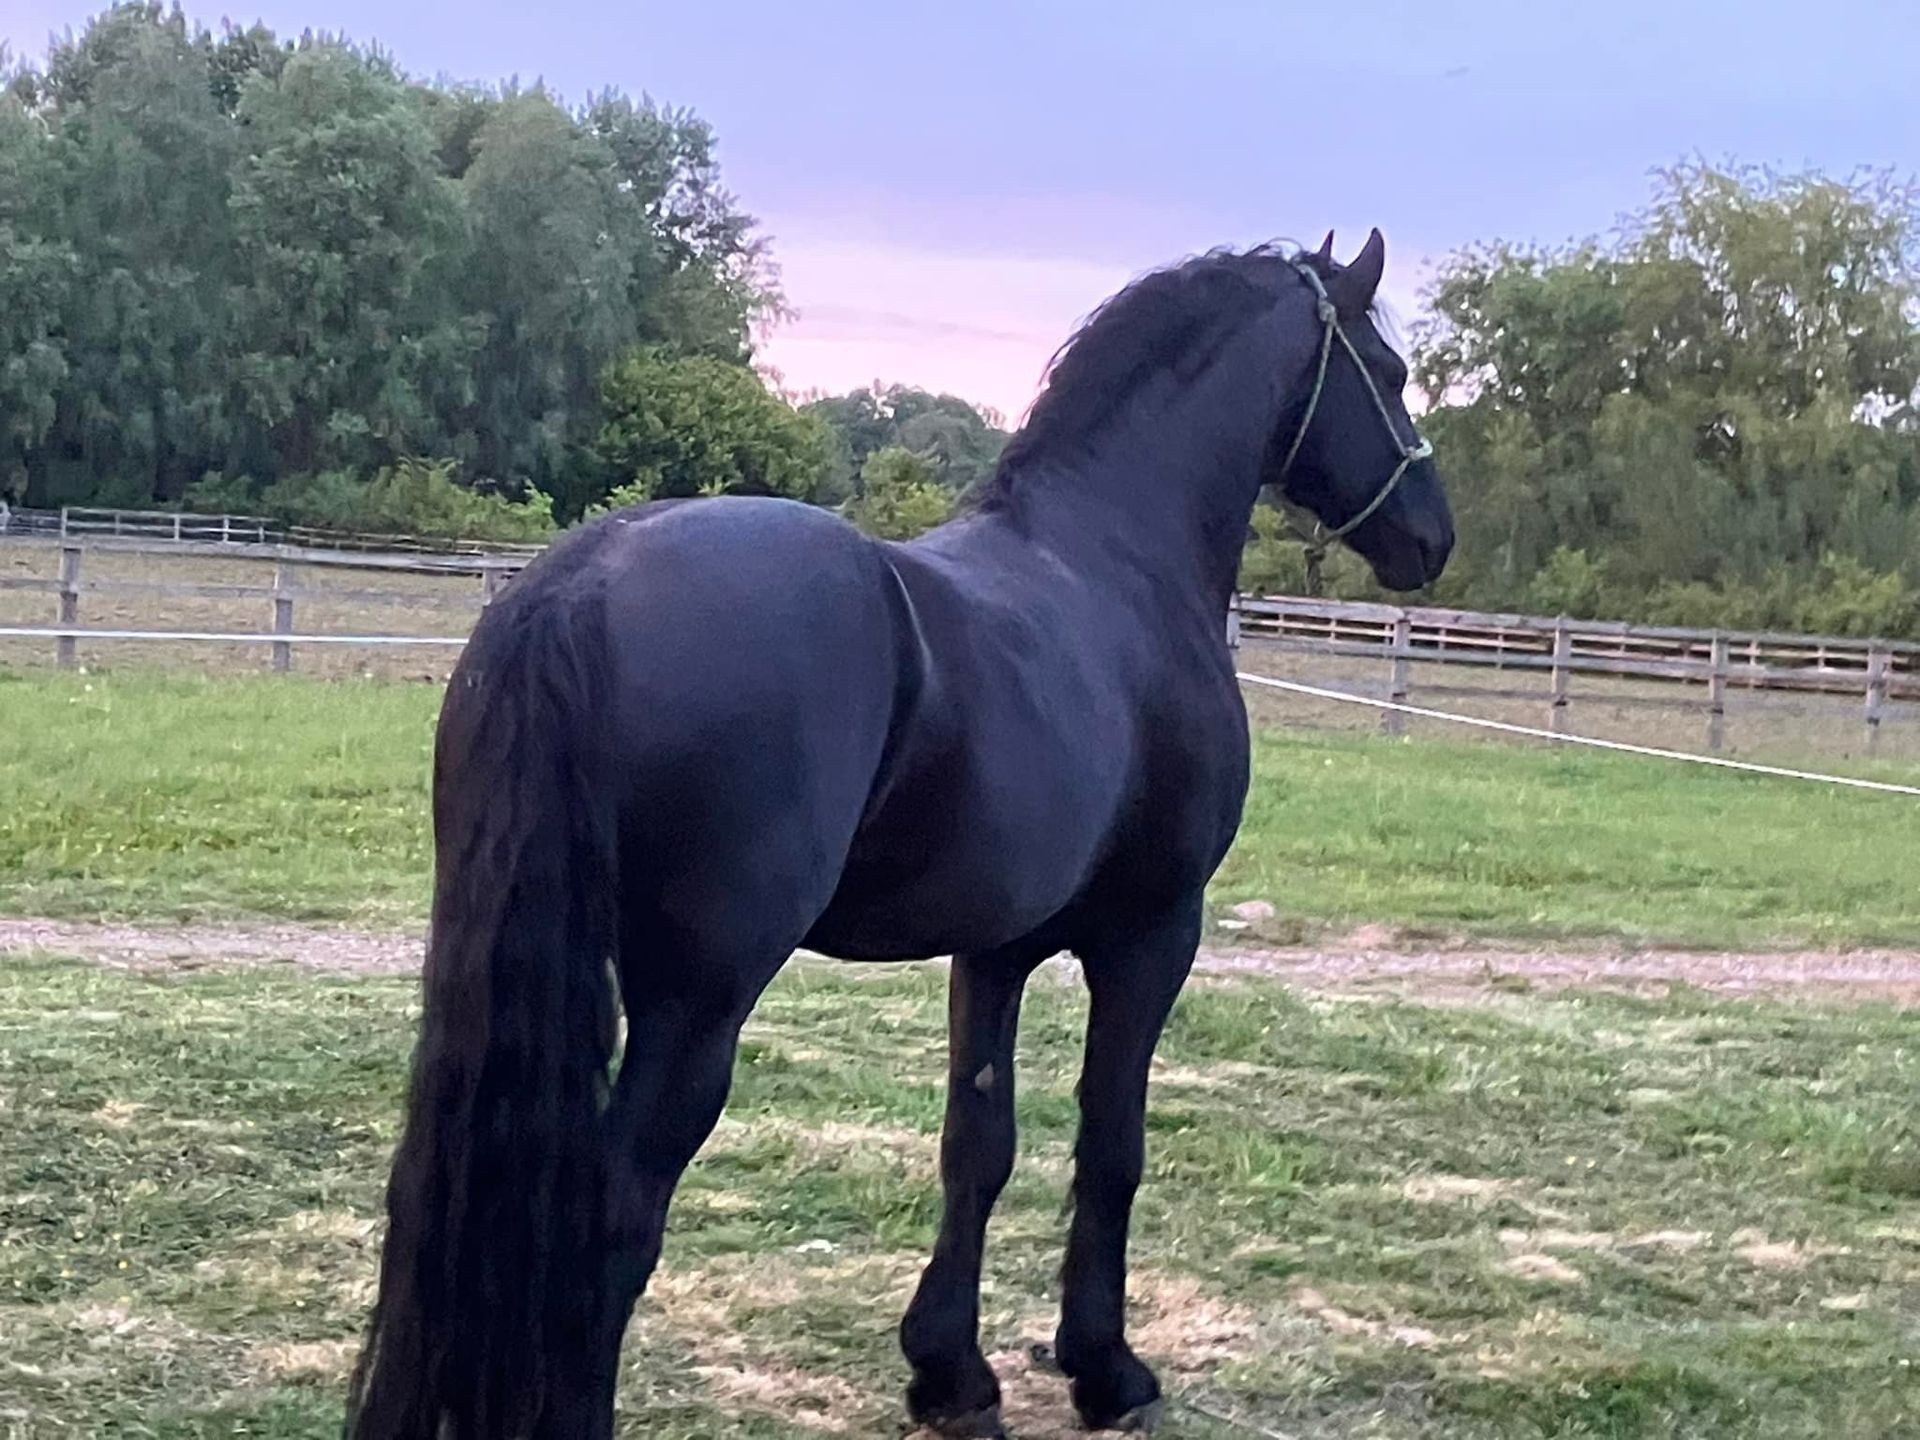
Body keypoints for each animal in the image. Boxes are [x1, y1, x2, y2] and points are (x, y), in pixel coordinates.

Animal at [345, 227, 1453, 1440]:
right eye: (1389, 372)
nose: (1432, 535)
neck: (1115, 561)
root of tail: (581, 587)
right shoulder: (1154, 934)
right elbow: (1111, 1145)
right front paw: (1105, 1369)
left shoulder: (996, 950)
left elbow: (979, 1146)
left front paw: (950, 1373)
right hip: (699, 1003)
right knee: (614, 1218)